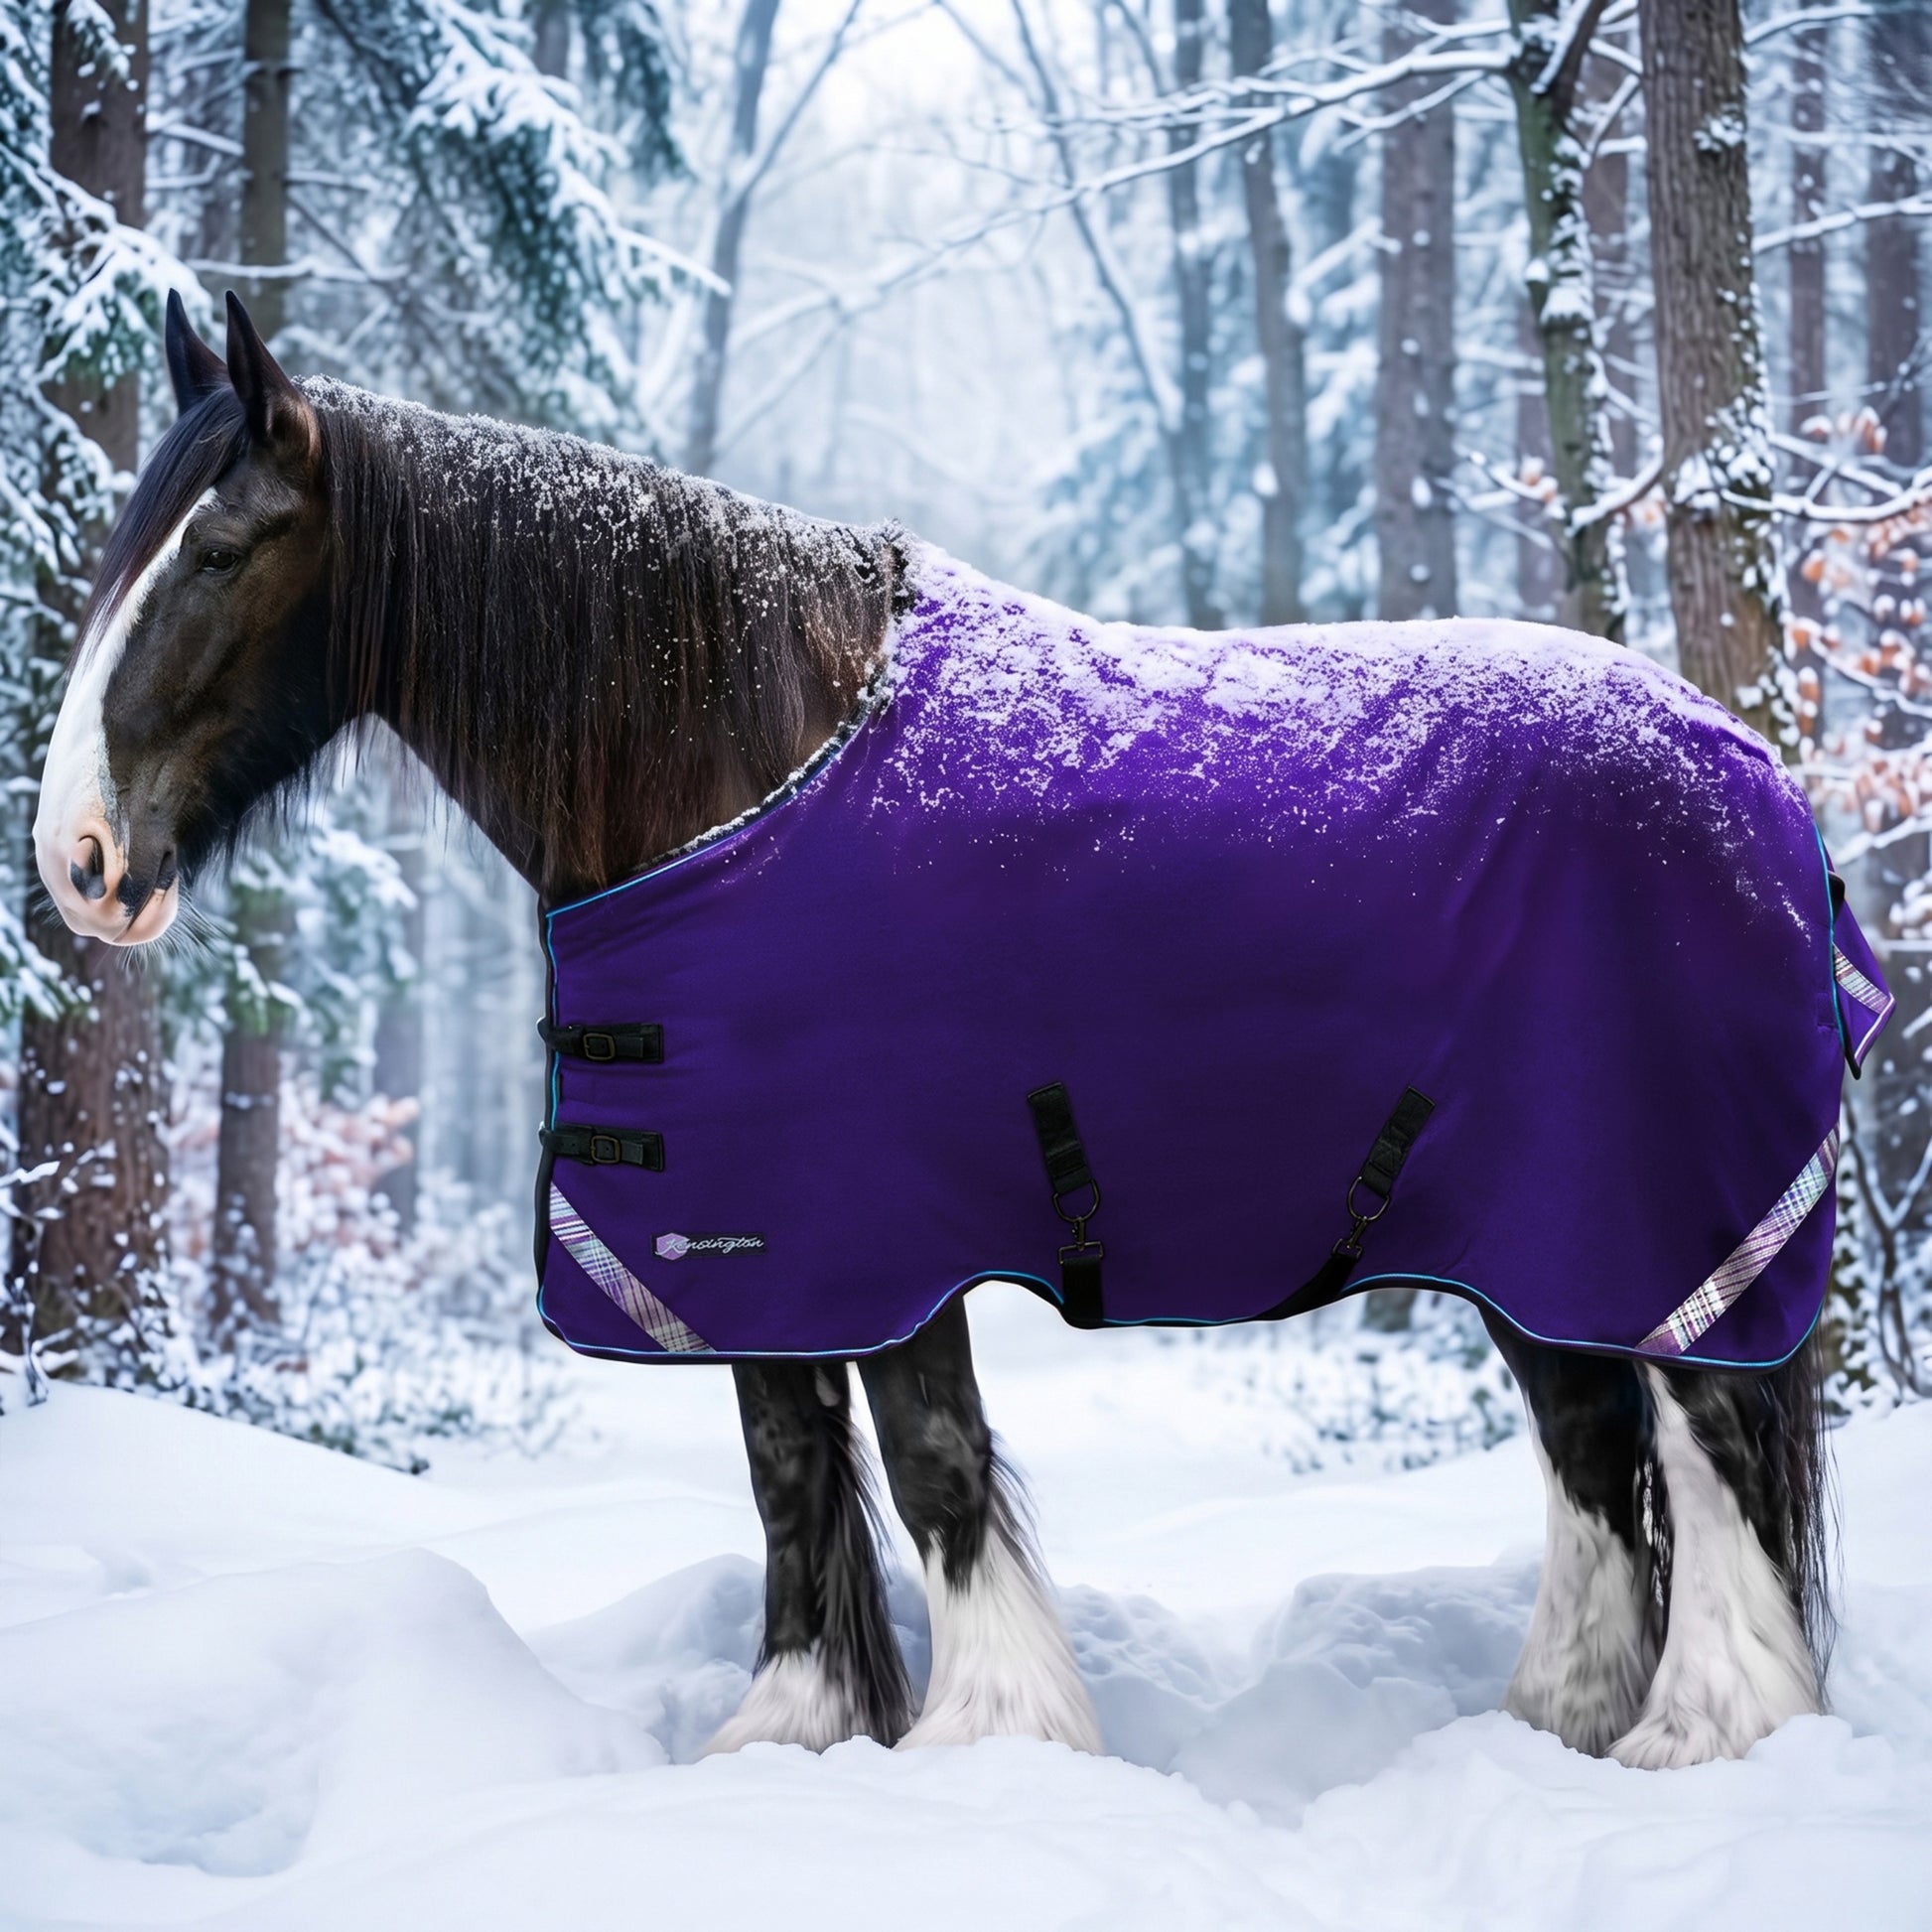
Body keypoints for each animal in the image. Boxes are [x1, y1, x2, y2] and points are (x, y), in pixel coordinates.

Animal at [32, 290, 1858, 1770]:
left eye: (217, 551)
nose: (79, 862)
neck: (741, 764)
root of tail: (1757, 775)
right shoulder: (760, 1241)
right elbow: (786, 1464)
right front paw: (791, 1728)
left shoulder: (884, 1229)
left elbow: (928, 1468)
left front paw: (993, 1736)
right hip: (1535, 1239)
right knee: (1591, 1445)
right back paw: (1561, 1715)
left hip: (1650, 1220)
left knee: (1701, 1443)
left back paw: (1701, 1728)